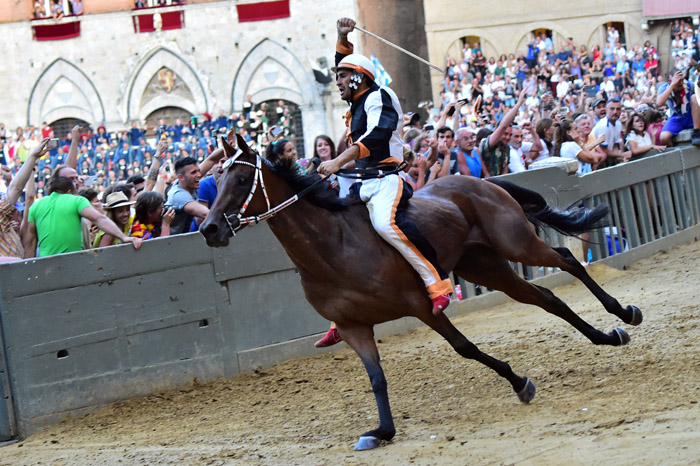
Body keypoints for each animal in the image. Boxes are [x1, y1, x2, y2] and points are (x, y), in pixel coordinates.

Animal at [200, 136, 644, 452]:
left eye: (241, 180)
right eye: (215, 181)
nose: (209, 229)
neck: (335, 246)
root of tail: (479, 180)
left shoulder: (422, 307)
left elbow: (465, 347)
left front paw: (519, 381)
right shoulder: (354, 326)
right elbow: (376, 378)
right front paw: (381, 431)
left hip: (516, 243)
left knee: (568, 260)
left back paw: (623, 314)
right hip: (486, 266)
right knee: (547, 299)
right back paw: (606, 336)